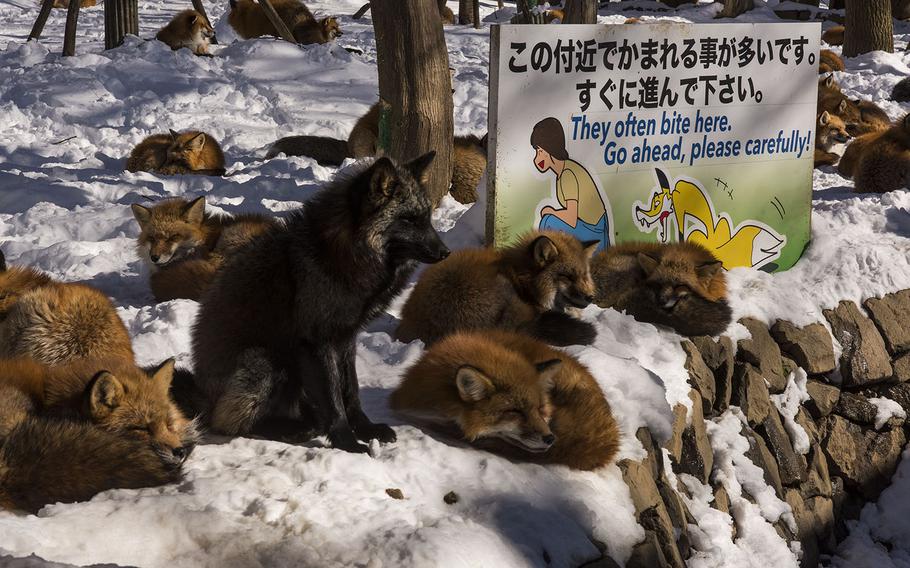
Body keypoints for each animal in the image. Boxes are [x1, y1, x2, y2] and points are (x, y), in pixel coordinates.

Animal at [192, 153, 448, 454]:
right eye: (408, 220)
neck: (341, 255)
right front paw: (347, 441)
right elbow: (334, 400)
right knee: (228, 423)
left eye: (427, 219)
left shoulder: (346, 338)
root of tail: (201, 392)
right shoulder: (318, 342)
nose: (446, 252)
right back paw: (294, 428)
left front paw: (366, 429)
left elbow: (351, 391)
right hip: (265, 360)